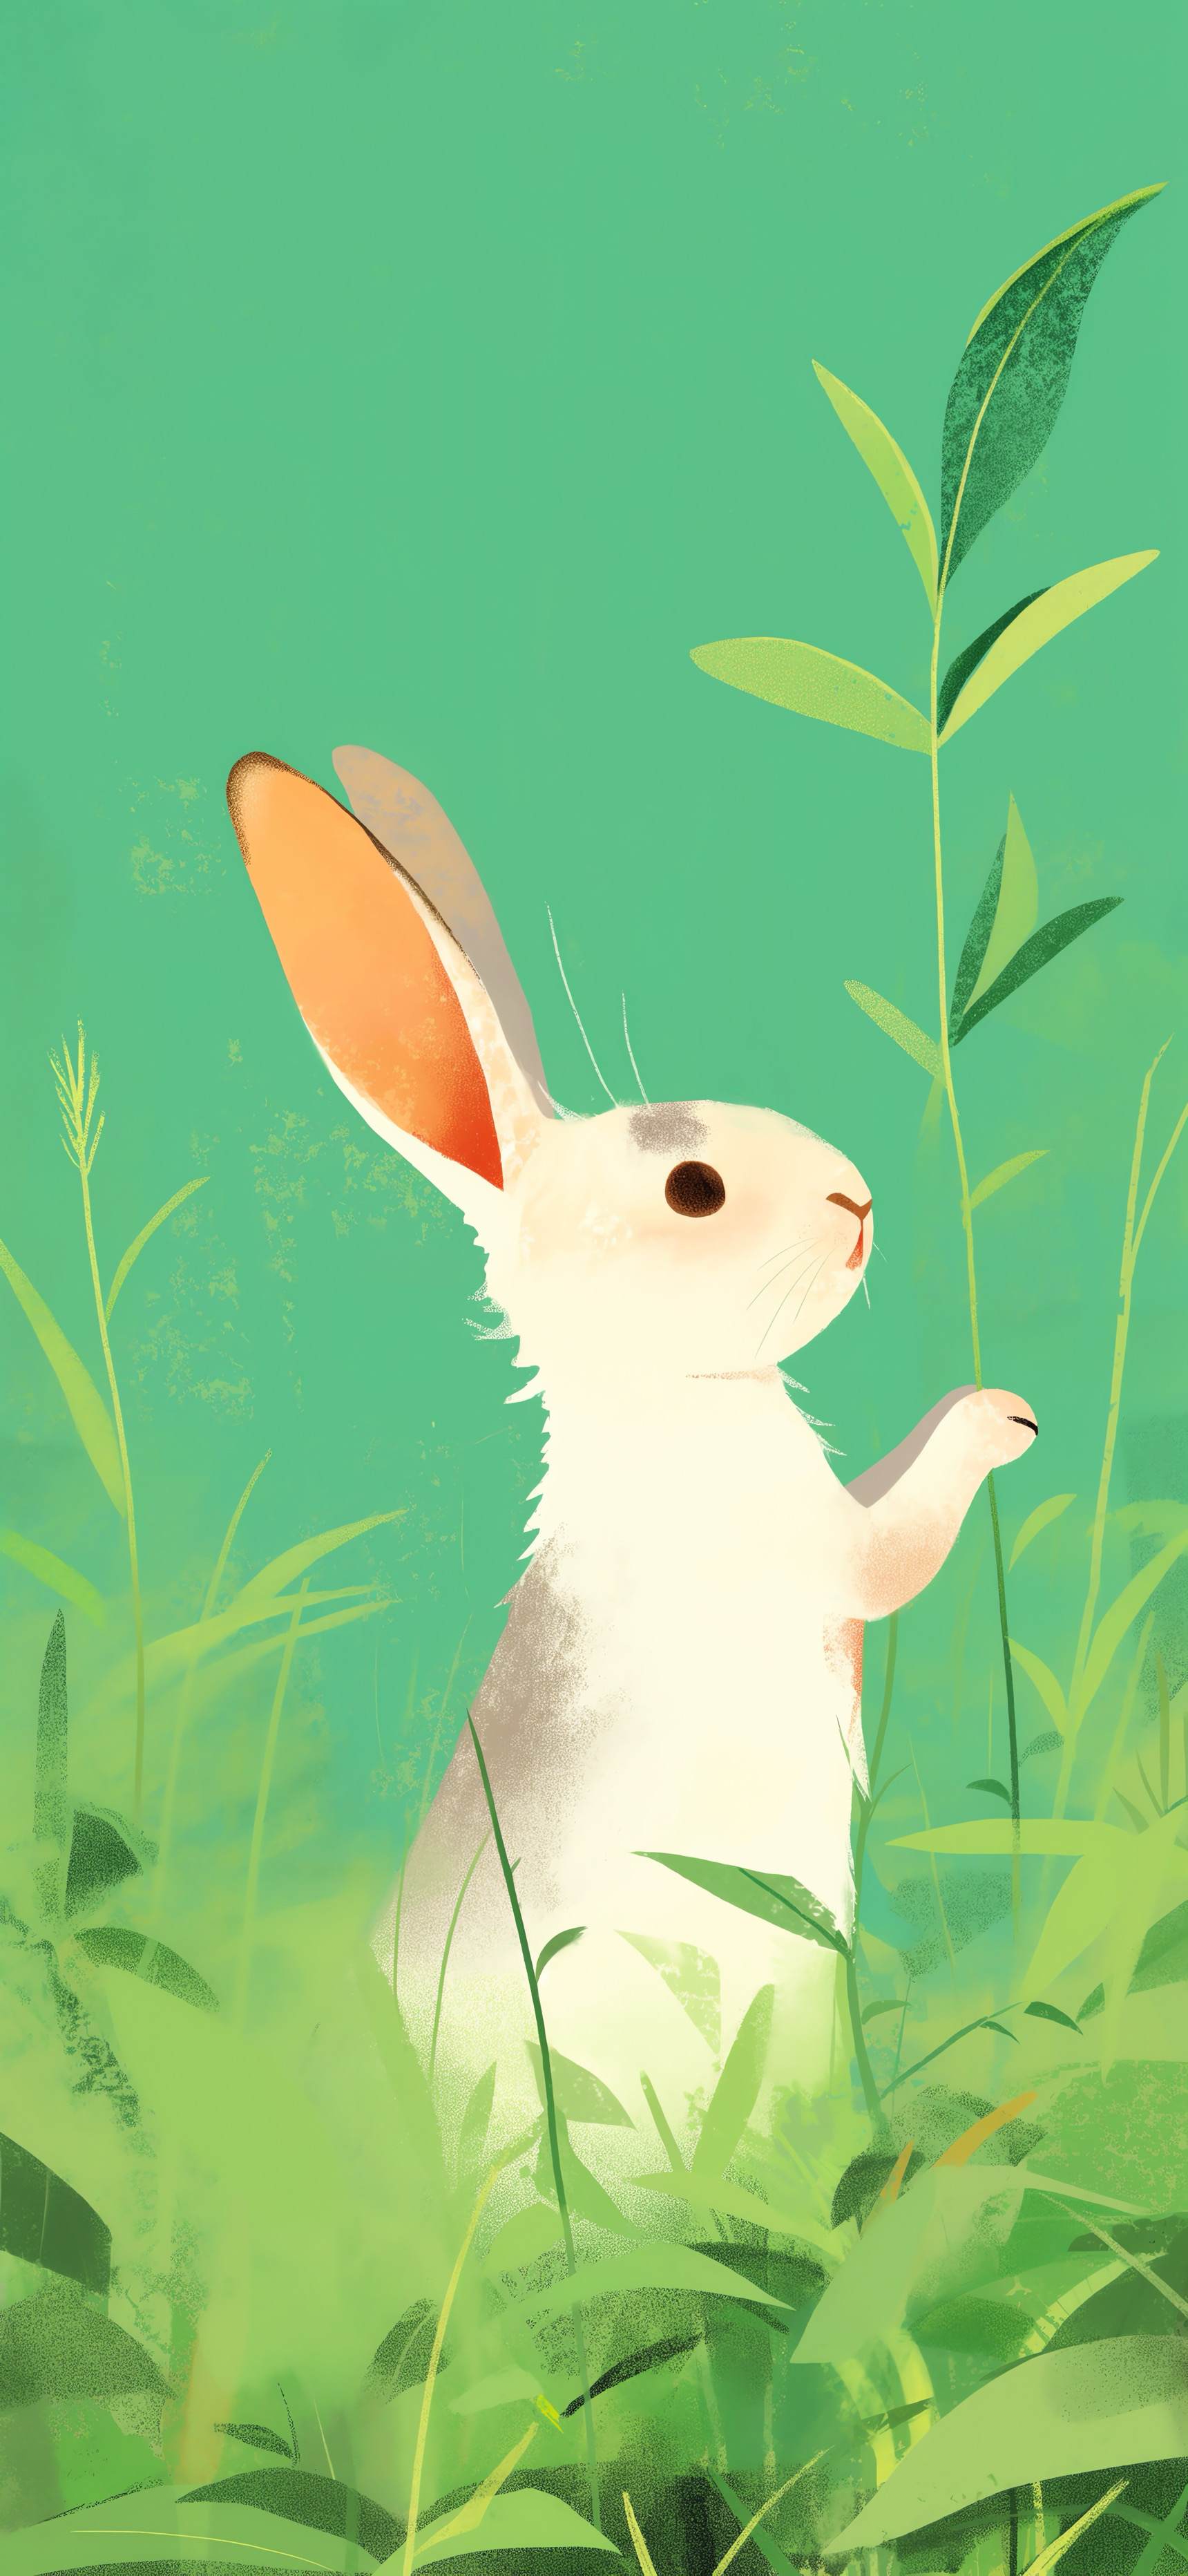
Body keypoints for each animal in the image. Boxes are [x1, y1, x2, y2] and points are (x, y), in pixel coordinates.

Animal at [227, 744, 1039, 2160]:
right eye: (694, 1190)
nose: (858, 1198)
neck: (673, 1398)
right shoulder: (811, 1548)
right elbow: (901, 1542)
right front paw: (998, 1416)